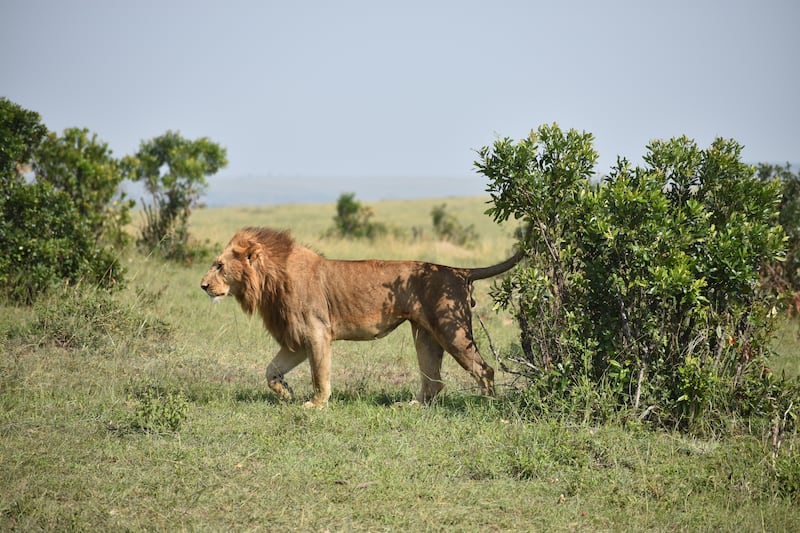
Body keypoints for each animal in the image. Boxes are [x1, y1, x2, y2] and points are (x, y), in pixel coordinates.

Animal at [203, 225, 520, 408]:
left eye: (219, 265)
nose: (203, 285)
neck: (270, 280)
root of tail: (459, 270)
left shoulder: (317, 332)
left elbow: (319, 374)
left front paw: (316, 404)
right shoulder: (298, 340)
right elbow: (270, 372)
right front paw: (287, 394)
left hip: (451, 329)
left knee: (484, 370)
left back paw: (486, 406)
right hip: (425, 334)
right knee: (434, 381)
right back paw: (411, 405)